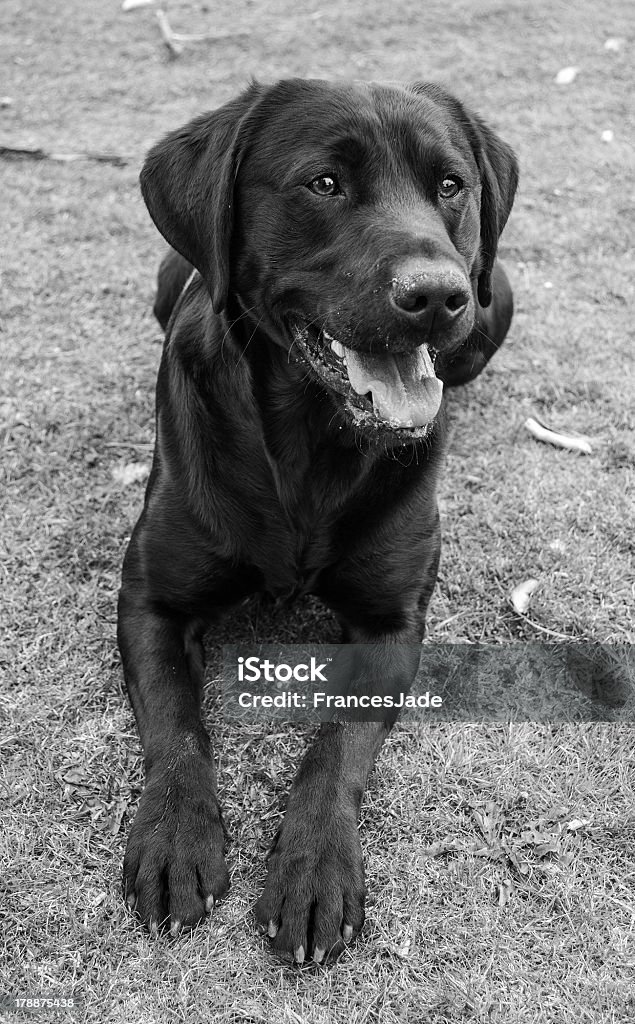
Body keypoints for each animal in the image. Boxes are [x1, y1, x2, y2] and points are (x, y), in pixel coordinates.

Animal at [117, 77, 516, 958]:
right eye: (323, 183)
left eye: (450, 185)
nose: (435, 296)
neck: (309, 440)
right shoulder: (149, 602)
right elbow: (175, 723)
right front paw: (174, 838)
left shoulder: (391, 623)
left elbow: (337, 743)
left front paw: (314, 870)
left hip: (495, 301)